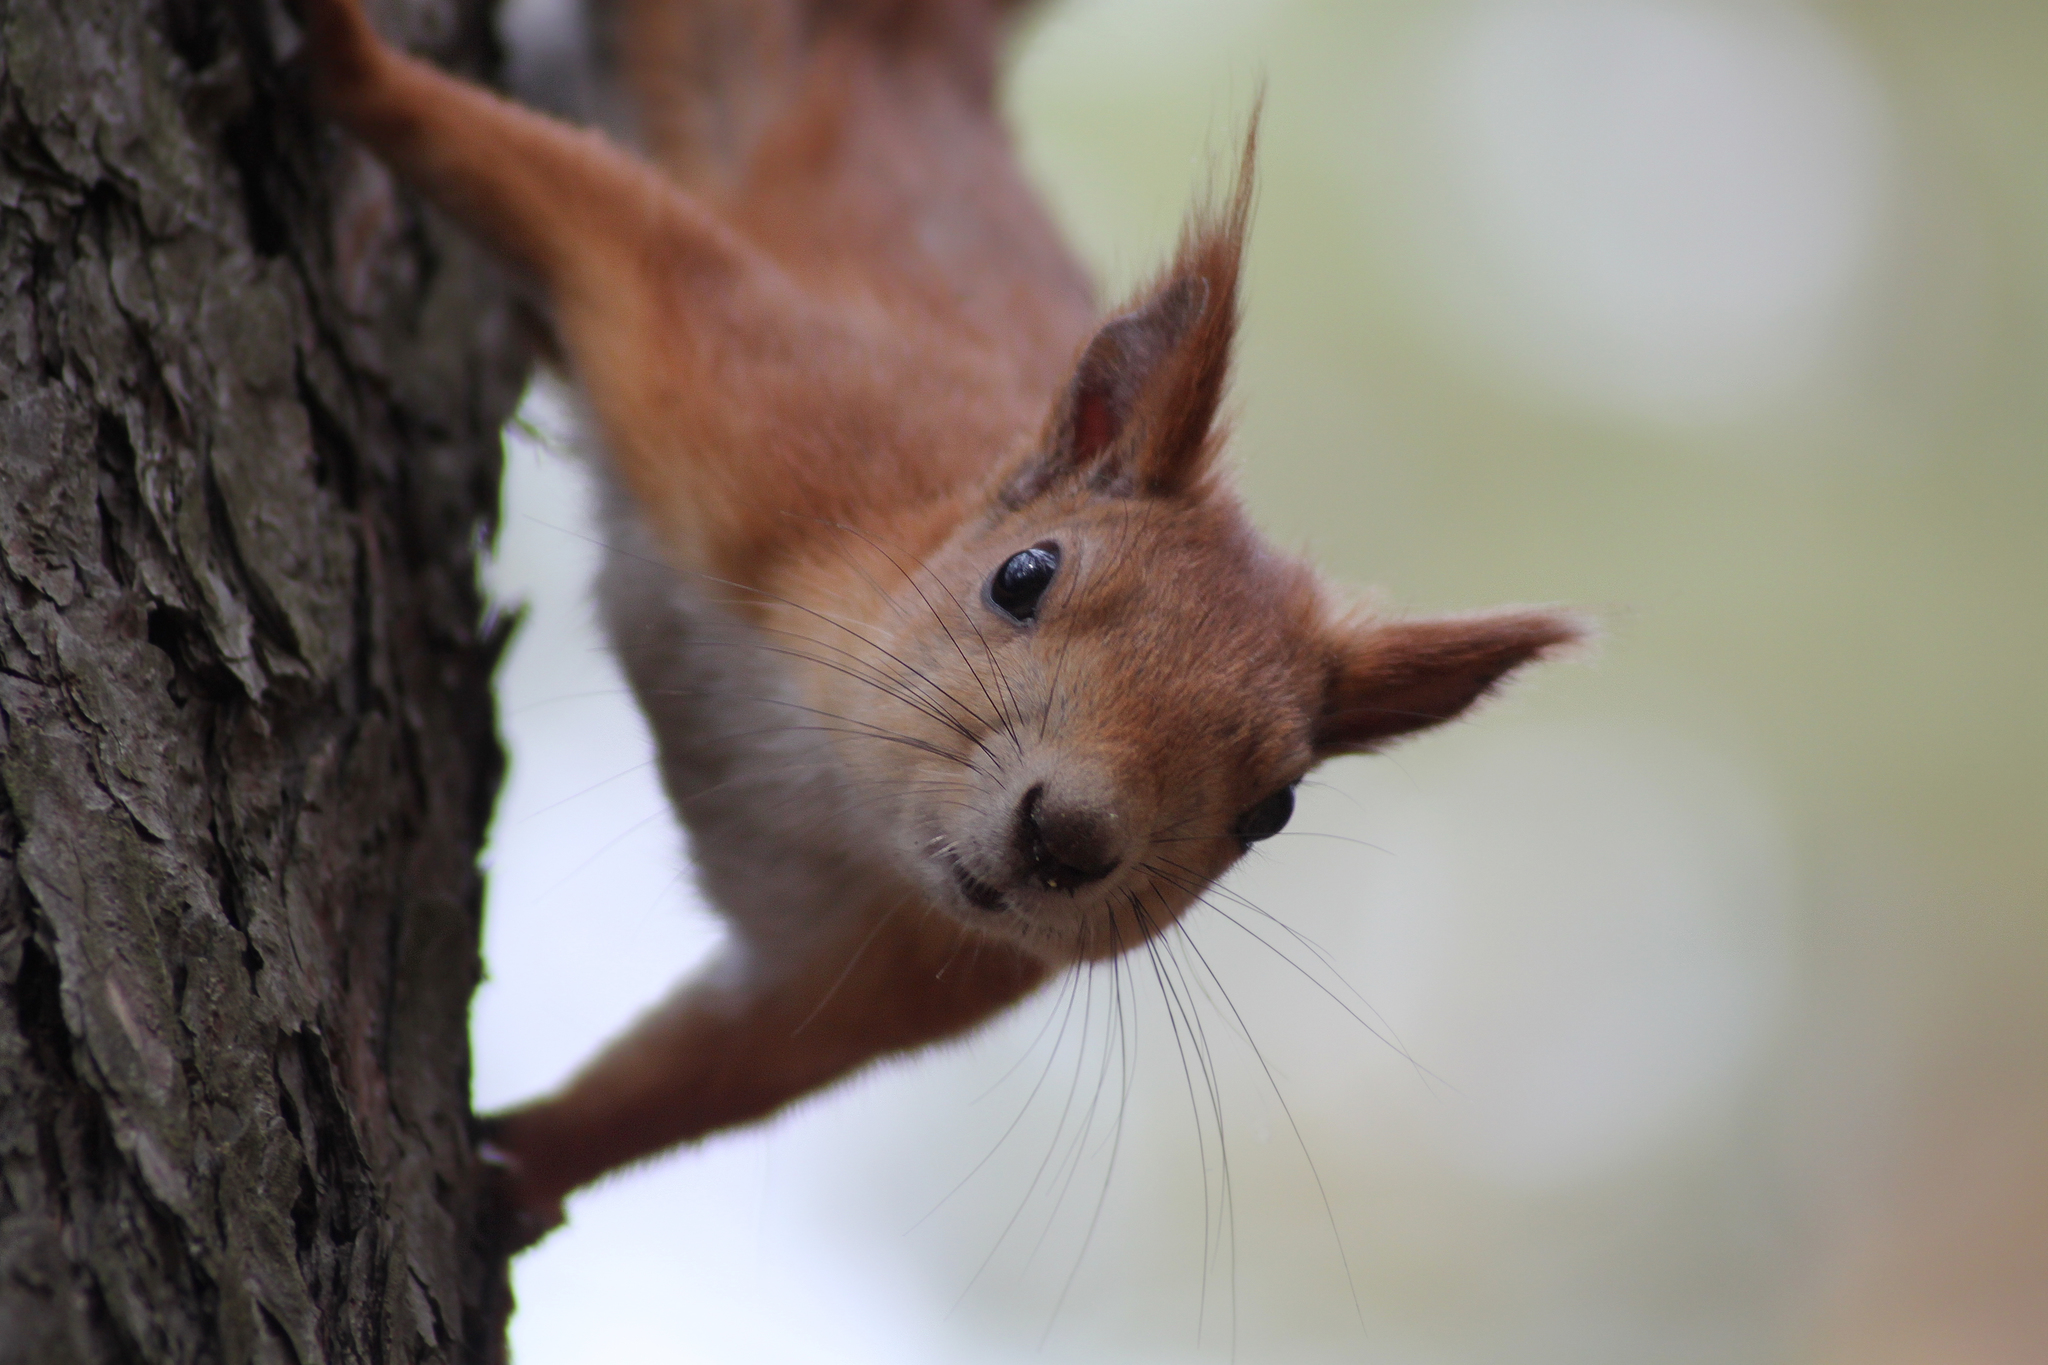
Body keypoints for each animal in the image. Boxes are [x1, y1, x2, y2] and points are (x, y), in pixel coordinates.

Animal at [299, 0, 1581, 1252]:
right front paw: (344, 52)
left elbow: (708, 1072)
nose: (1067, 839)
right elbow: (590, 210)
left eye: (1272, 810)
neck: (832, 799)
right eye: (1022, 576)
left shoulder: (873, 976)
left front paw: (519, 1165)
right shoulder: (758, 401)